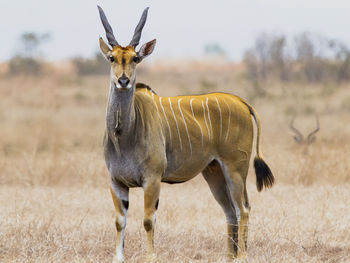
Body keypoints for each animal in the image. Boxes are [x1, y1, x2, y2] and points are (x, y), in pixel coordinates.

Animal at [97, 5, 274, 262]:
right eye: (112, 58)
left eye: (135, 58)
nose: (123, 80)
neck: (123, 135)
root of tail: (241, 102)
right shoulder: (116, 182)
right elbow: (120, 222)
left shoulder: (152, 179)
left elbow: (148, 221)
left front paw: (151, 256)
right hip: (214, 173)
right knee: (230, 211)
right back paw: (230, 256)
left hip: (236, 169)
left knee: (244, 208)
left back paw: (242, 255)